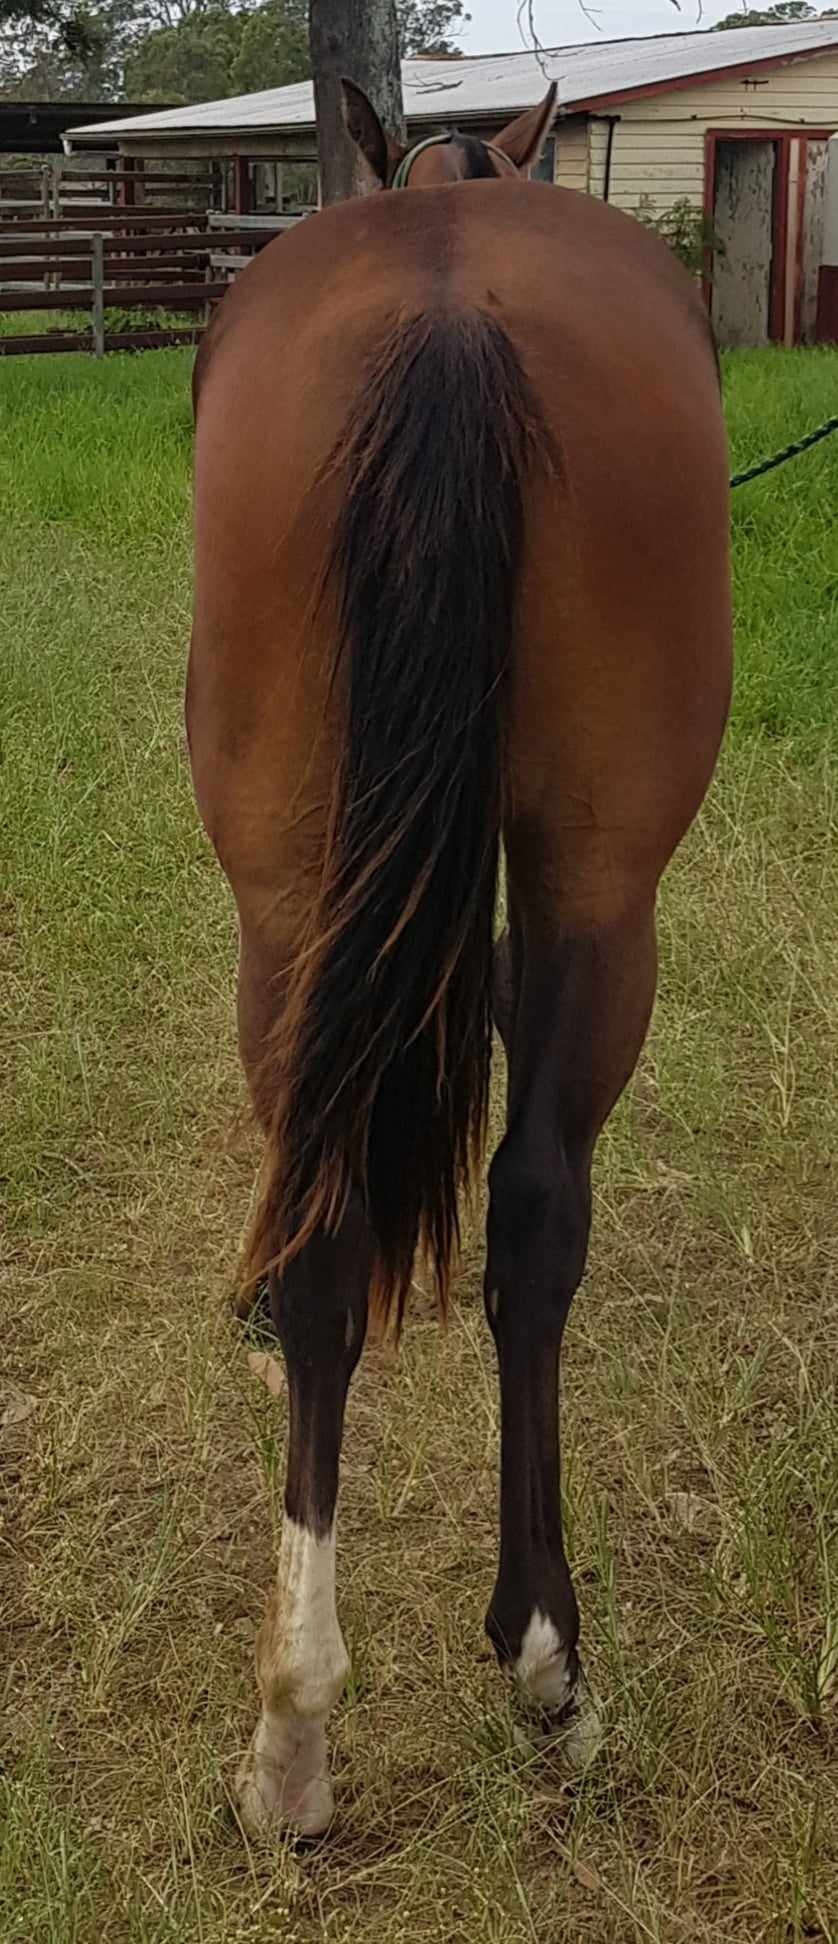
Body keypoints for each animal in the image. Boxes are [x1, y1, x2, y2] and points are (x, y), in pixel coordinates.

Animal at [187, 80, 732, 1838]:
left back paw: (327, 1724)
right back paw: (496, 1679)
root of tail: (448, 304)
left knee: (376, 1226)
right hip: (573, 892)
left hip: (317, 902)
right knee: (512, 1212)